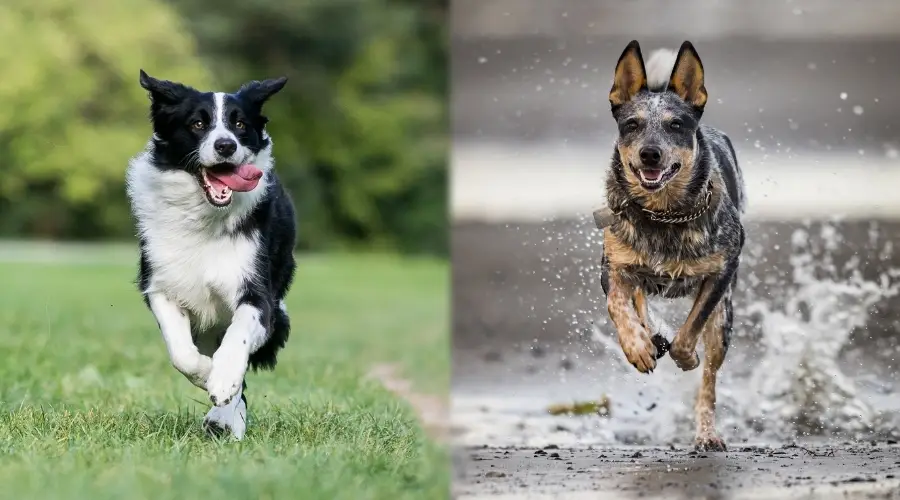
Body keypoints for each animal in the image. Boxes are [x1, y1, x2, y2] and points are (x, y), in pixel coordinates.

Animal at [126, 71, 298, 442]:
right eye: (198, 123)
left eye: (240, 124)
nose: (225, 146)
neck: (204, 217)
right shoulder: (160, 286)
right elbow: (182, 353)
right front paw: (207, 375)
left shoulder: (258, 294)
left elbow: (239, 336)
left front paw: (222, 381)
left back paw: (225, 417)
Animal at [596, 41, 744, 452]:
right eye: (632, 124)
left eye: (676, 124)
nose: (650, 153)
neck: (663, 217)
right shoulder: (611, 266)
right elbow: (619, 305)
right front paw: (638, 347)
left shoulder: (722, 271)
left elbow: (690, 331)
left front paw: (686, 357)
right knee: (640, 303)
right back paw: (650, 336)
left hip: (725, 318)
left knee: (709, 382)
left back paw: (707, 433)